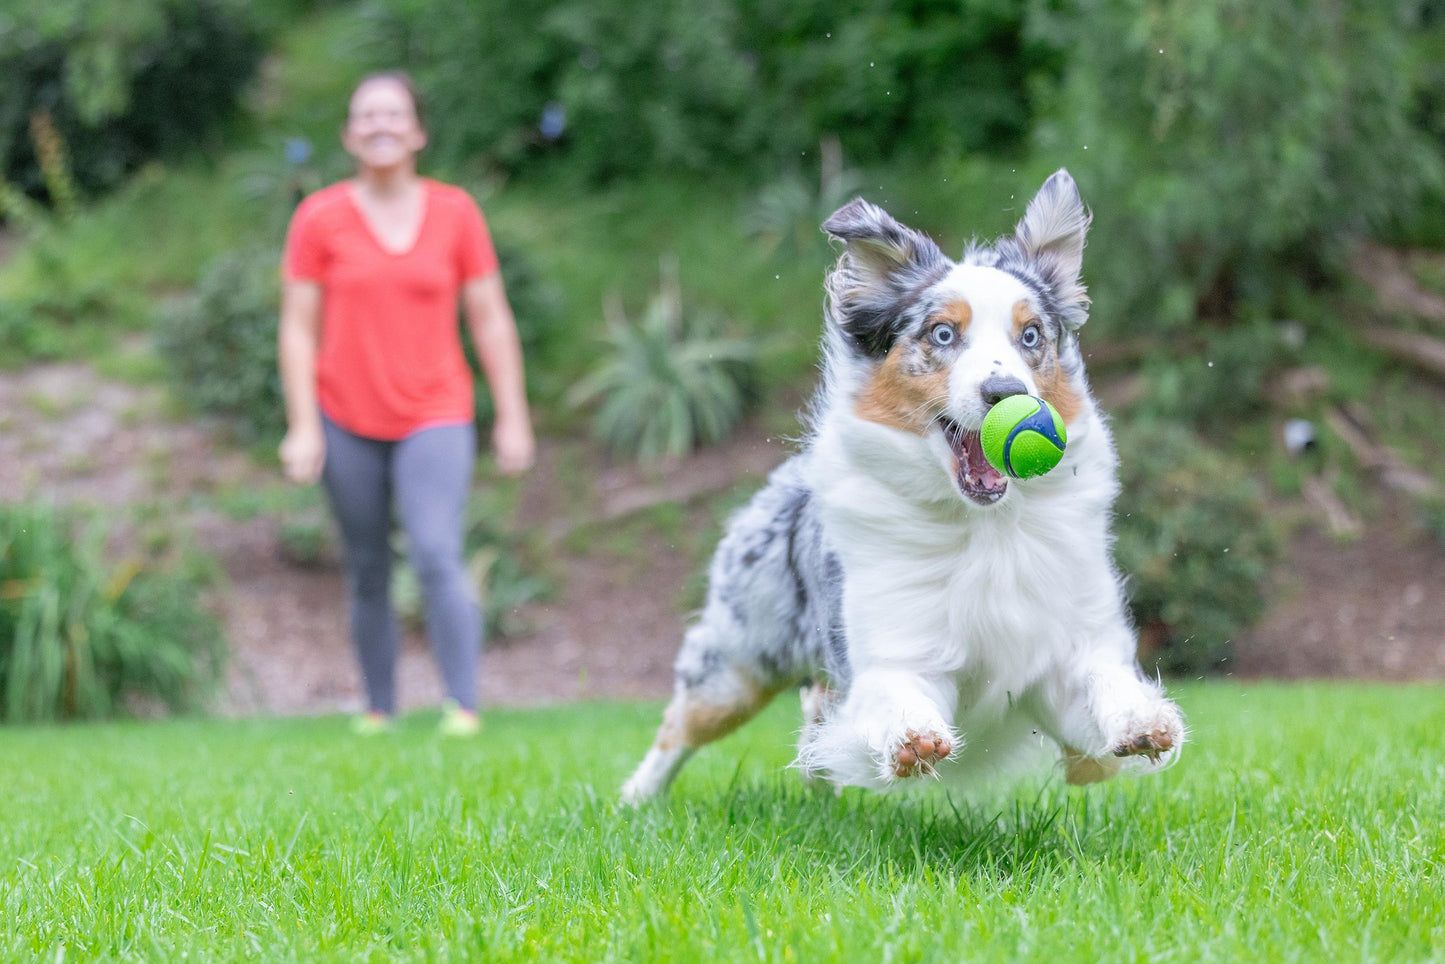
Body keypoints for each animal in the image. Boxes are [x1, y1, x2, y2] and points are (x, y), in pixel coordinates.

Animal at [621, 169, 1184, 803]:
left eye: (1031, 336)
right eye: (942, 334)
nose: (1006, 393)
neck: (987, 528)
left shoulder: (1066, 648)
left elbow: (1102, 682)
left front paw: (1143, 720)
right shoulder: (895, 648)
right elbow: (894, 693)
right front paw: (911, 735)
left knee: (813, 717)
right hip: (738, 663)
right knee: (682, 726)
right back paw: (637, 800)